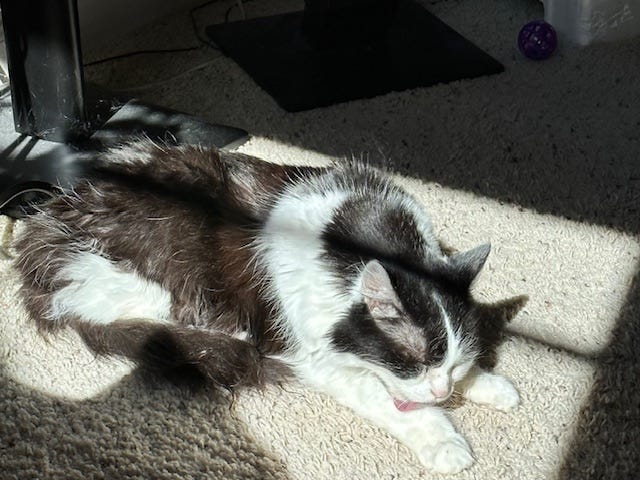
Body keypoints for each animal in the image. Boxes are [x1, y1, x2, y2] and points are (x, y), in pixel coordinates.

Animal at [12, 140, 528, 476]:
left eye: (453, 362)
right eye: (412, 363)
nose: (443, 391)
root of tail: (41, 224)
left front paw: (490, 386)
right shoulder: (313, 354)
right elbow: (394, 404)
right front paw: (445, 442)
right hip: (164, 272)